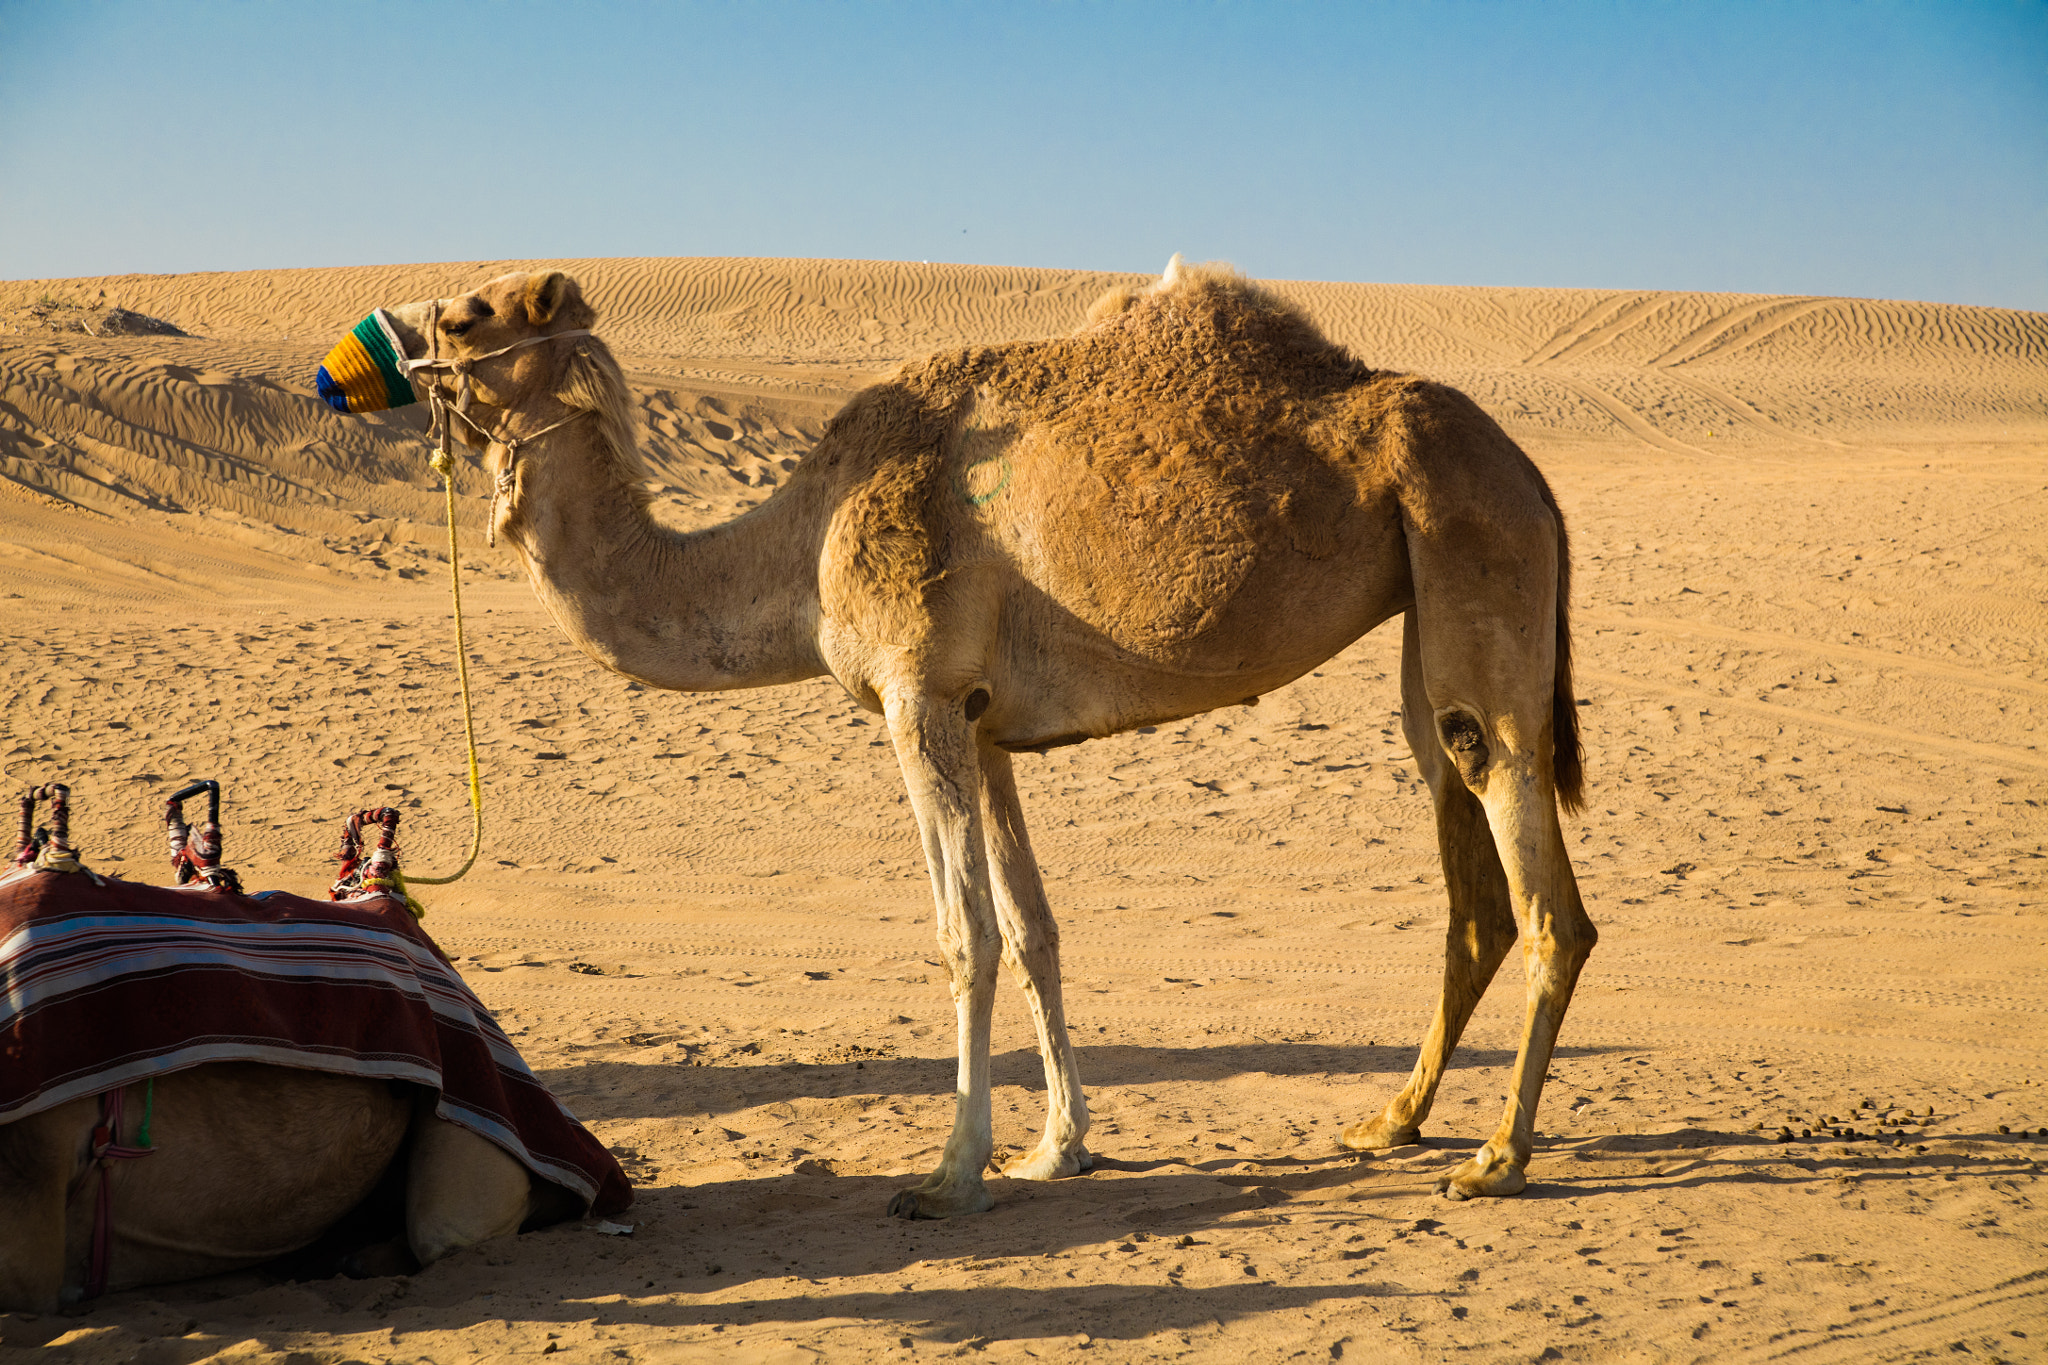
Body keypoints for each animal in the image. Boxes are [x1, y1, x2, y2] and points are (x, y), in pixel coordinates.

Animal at [367, 257, 1595, 1217]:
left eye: (467, 317)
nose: (364, 354)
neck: (798, 547)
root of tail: (1533, 472)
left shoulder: (917, 698)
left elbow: (967, 934)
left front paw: (950, 1172)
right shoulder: (984, 721)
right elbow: (1036, 926)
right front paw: (1058, 1148)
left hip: (1475, 551)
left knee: (1541, 888)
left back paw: (1498, 1158)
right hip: (1425, 605)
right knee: (1472, 876)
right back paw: (1391, 1121)